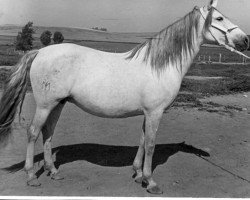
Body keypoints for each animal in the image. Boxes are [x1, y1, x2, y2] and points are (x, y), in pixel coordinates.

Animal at [0, 0, 248, 194]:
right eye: (219, 17)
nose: (245, 40)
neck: (159, 66)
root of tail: (40, 51)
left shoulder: (147, 113)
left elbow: (142, 140)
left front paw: (138, 174)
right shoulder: (155, 112)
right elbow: (151, 144)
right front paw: (151, 182)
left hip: (58, 104)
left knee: (48, 133)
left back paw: (53, 171)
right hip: (45, 104)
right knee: (33, 133)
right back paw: (31, 176)